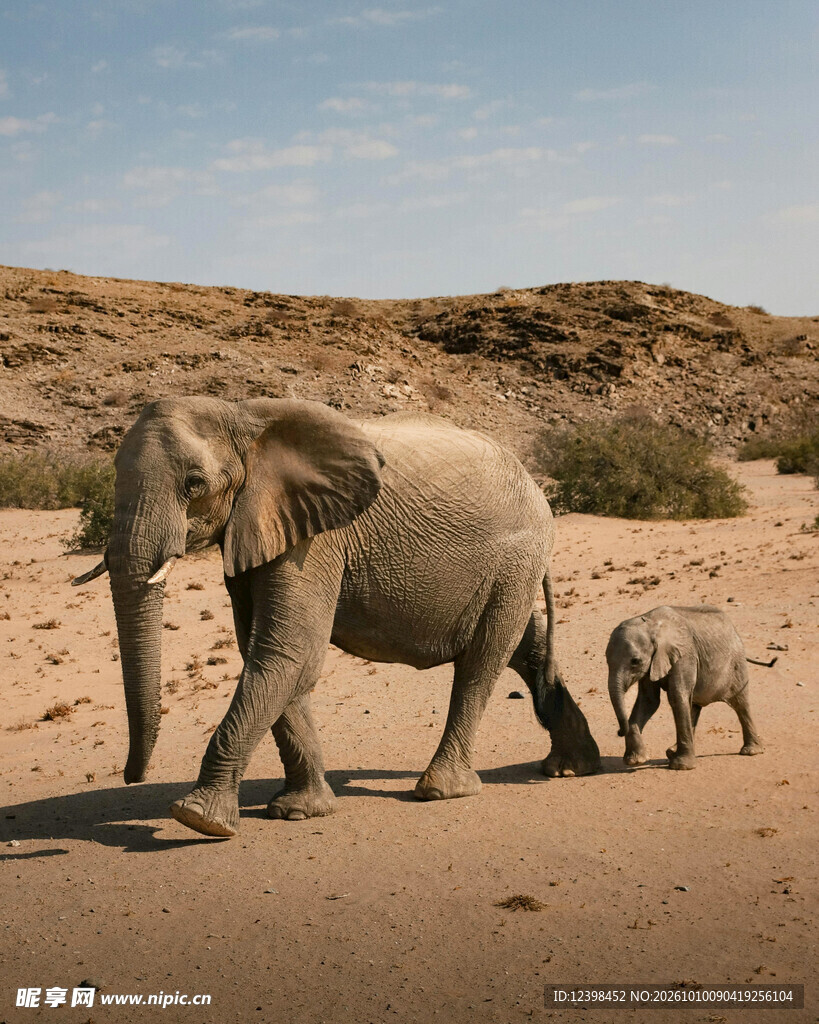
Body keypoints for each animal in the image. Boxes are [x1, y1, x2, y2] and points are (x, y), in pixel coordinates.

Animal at [72, 397, 600, 837]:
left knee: (483, 661)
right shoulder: (258, 526)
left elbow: (287, 651)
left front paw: (199, 818)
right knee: (526, 649)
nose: (132, 777)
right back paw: (572, 767)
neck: (244, 418)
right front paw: (301, 812)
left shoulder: (316, 538)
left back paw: (441, 789)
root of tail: (533, 481)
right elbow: (271, 654)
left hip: (516, 556)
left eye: (194, 484)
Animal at [606, 605, 764, 770]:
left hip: (737, 664)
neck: (652, 625)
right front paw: (635, 761)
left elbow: (677, 696)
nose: (619, 732)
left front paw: (681, 766)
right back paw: (671, 751)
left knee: (741, 704)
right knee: (693, 705)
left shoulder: (685, 655)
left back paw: (751, 751)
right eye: (606, 660)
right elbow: (649, 701)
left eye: (635, 661)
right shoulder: (653, 663)